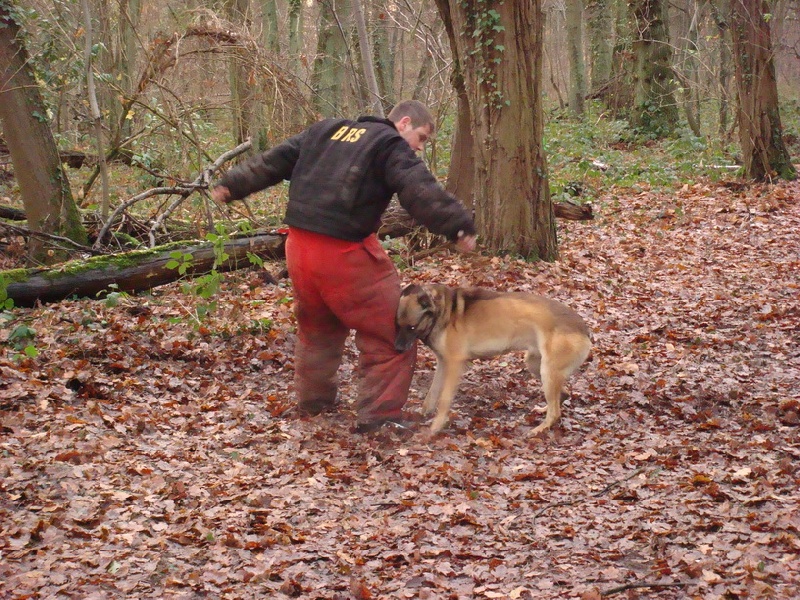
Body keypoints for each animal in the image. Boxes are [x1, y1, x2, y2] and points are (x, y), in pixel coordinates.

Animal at [396, 284, 592, 434]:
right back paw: (543, 410)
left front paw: (436, 426)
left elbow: (443, 400)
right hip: (536, 365)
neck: (442, 310)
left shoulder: (454, 364)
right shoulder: (443, 363)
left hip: (547, 371)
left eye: (412, 327)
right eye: (397, 325)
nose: (397, 348)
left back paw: (539, 429)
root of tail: (584, 329)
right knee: (562, 396)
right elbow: (432, 394)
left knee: (555, 412)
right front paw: (423, 414)